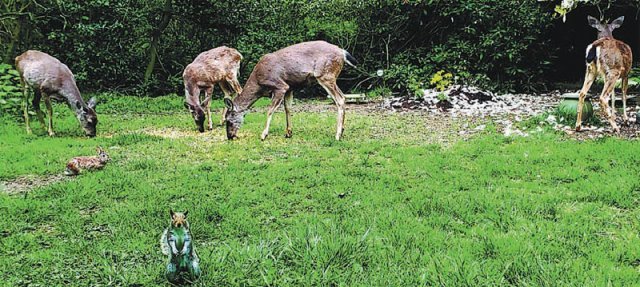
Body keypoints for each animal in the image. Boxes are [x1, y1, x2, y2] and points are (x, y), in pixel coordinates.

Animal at [224, 40, 356, 142]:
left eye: (229, 120)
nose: (230, 136)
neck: (258, 83)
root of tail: (342, 52)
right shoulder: (290, 87)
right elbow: (287, 108)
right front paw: (288, 133)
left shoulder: (280, 85)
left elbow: (270, 110)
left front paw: (263, 135)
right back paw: (342, 130)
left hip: (325, 74)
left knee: (341, 98)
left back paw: (338, 135)